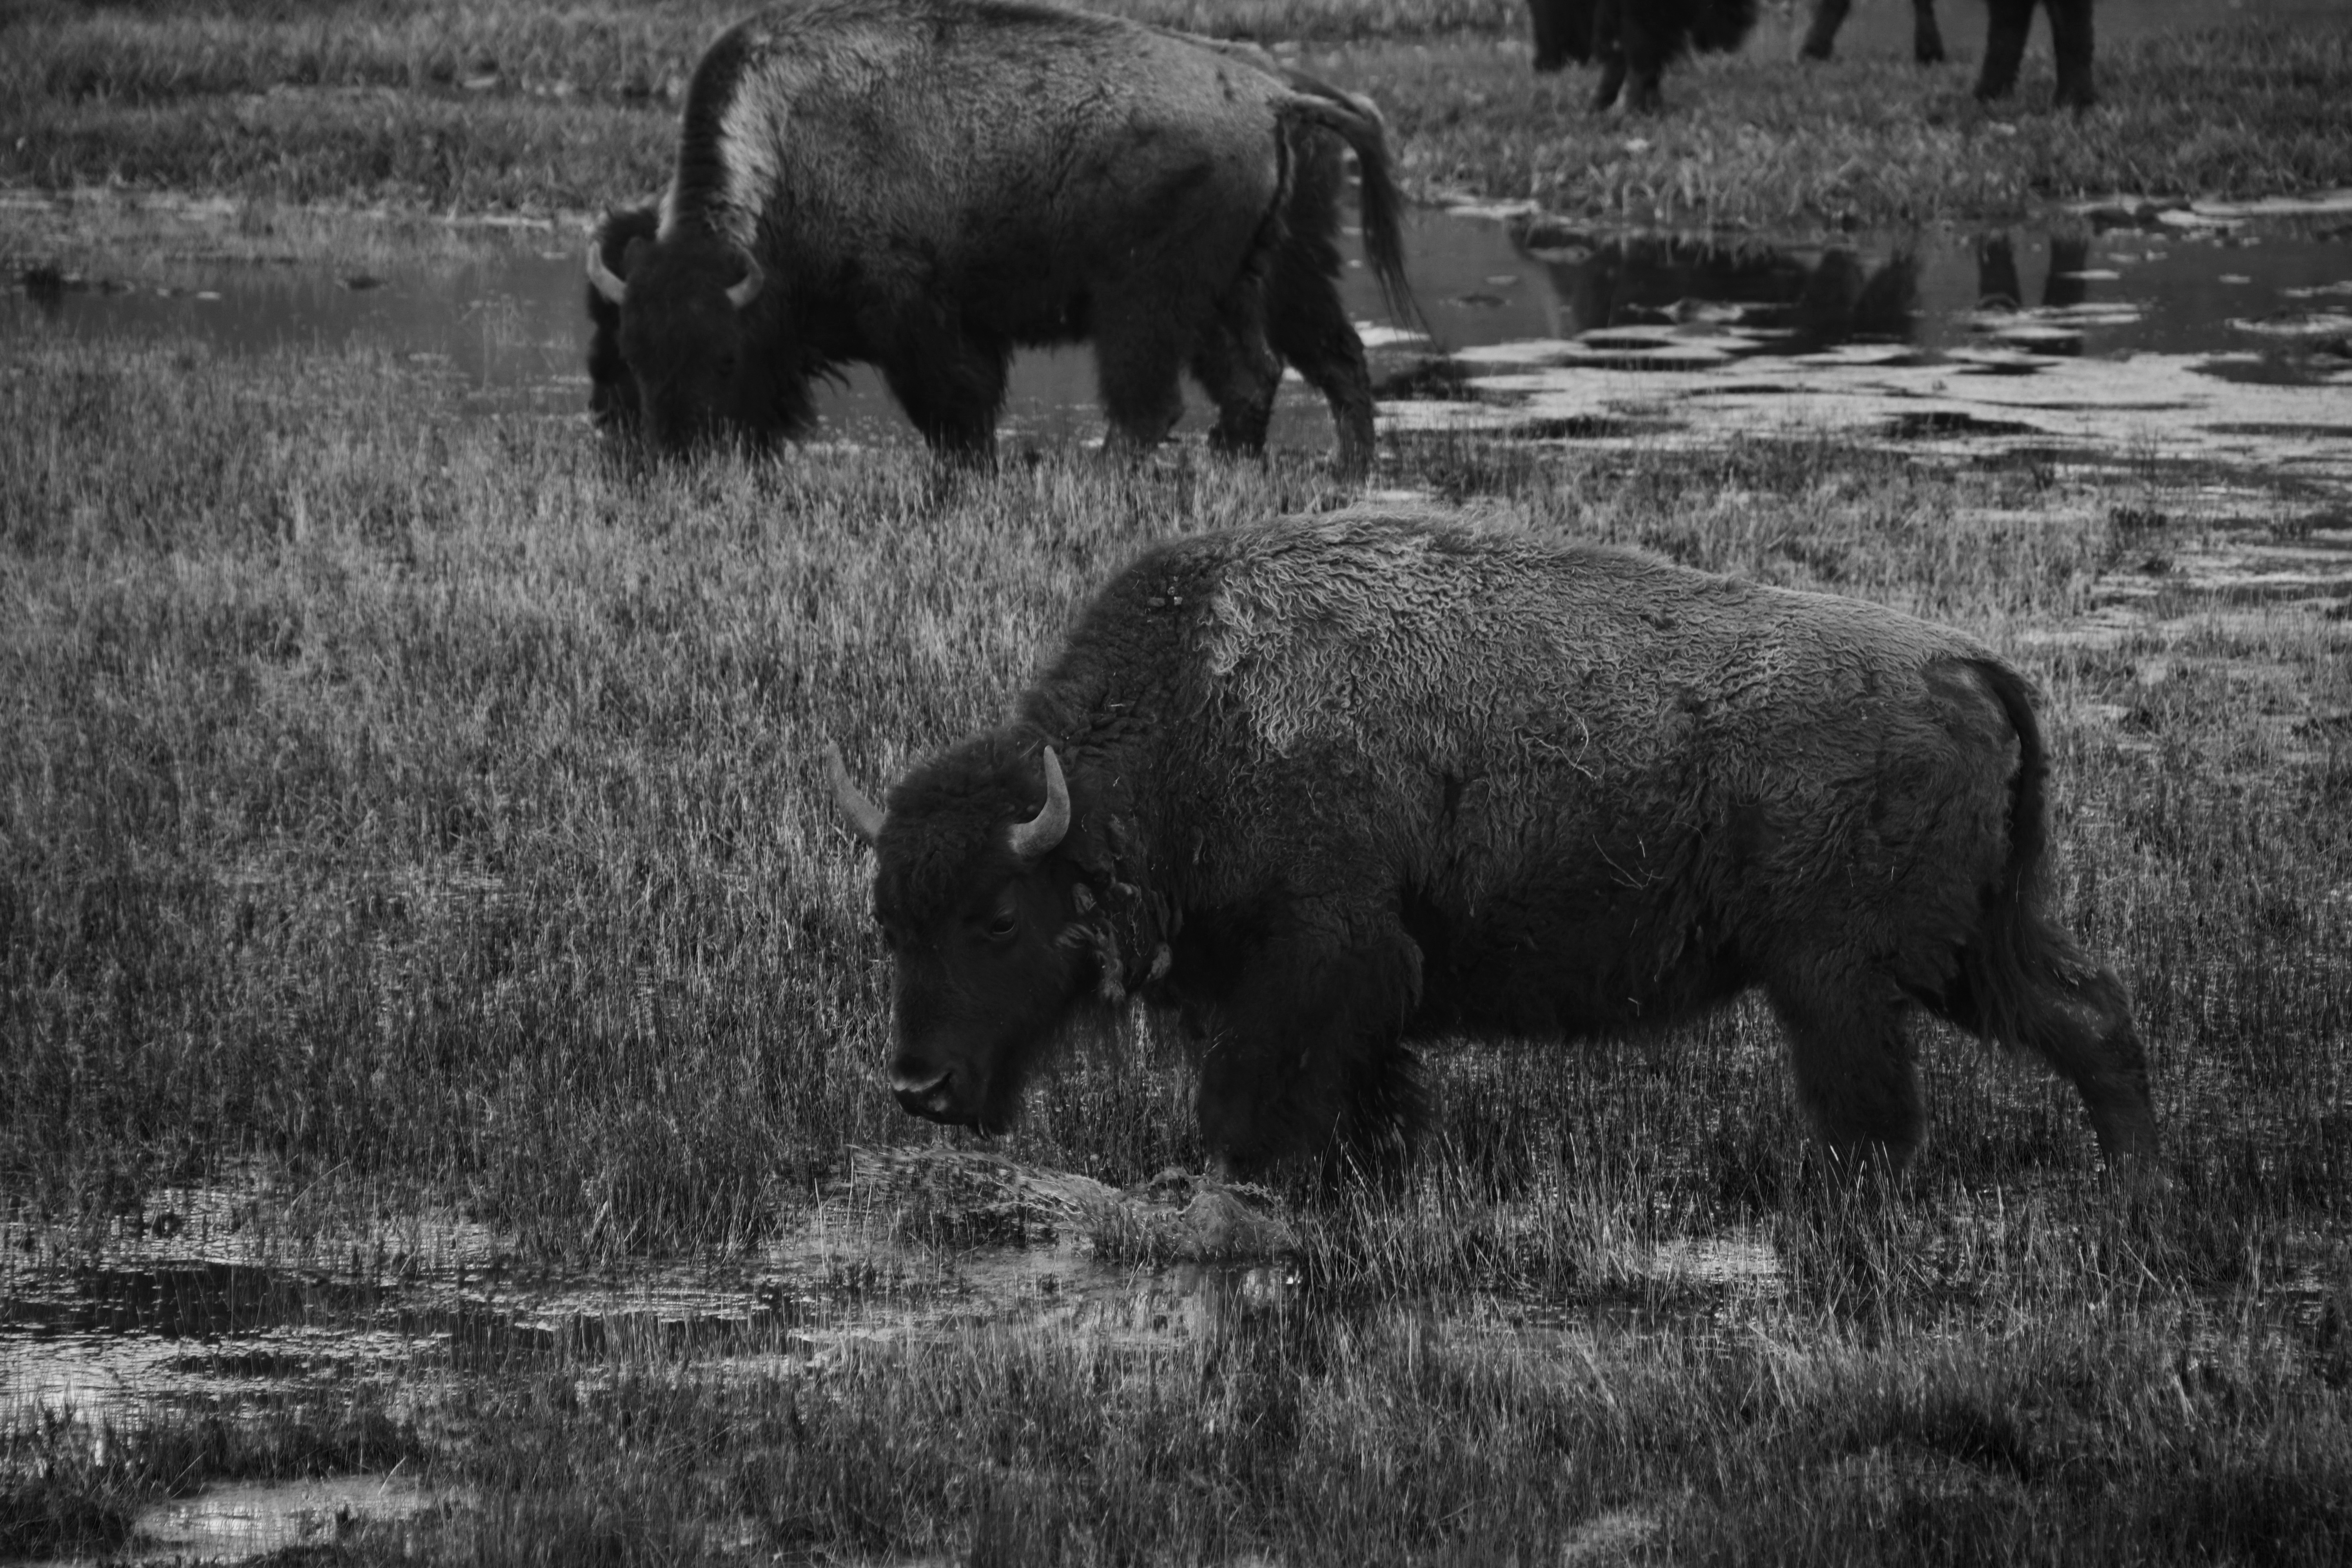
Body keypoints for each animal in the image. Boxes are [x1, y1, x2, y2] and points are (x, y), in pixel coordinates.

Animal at [584, 0, 1411, 470]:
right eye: (632, 350)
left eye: (725, 356)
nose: (675, 457)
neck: (789, 152)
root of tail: (1272, 96)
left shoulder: (918, 320)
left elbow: (957, 410)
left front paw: (968, 476)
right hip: (1248, 286)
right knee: (1283, 369)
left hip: (1147, 298)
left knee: (1154, 401)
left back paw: (1107, 475)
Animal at [828, 510, 2160, 1180]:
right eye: (888, 925)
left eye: (997, 916)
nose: (918, 1088)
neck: (1198, 717)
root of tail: (1968, 664)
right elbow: (1360, 1098)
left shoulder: (1319, 963)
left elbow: (1248, 1099)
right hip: (1969, 947)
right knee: (2088, 1018)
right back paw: (2129, 1188)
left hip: (1844, 973)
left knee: (1875, 1107)